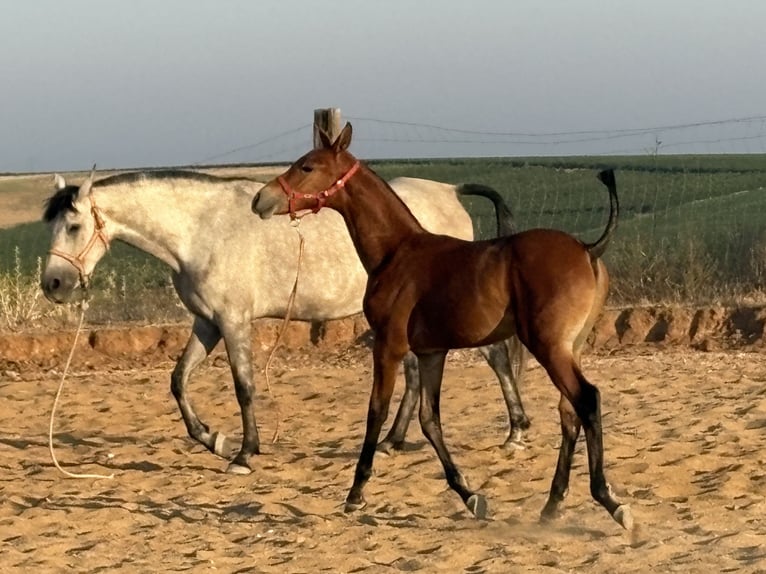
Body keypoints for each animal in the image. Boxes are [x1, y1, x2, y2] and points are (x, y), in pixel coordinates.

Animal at [41, 167, 530, 475]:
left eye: (74, 226)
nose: (54, 284)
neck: (200, 230)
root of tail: (449, 190)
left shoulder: (233, 322)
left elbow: (244, 387)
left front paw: (243, 453)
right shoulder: (207, 323)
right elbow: (179, 381)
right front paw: (211, 438)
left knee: (495, 357)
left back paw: (516, 432)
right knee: (415, 375)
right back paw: (392, 442)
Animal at [251, 123, 632, 531]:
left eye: (307, 166)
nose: (261, 199)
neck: (397, 252)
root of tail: (588, 249)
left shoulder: (388, 345)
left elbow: (376, 411)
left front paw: (355, 494)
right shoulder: (432, 352)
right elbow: (429, 419)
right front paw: (470, 496)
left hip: (549, 347)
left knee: (586, 400)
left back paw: (609, 500)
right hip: (569, 348)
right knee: (568, 412)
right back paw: (551, 506)